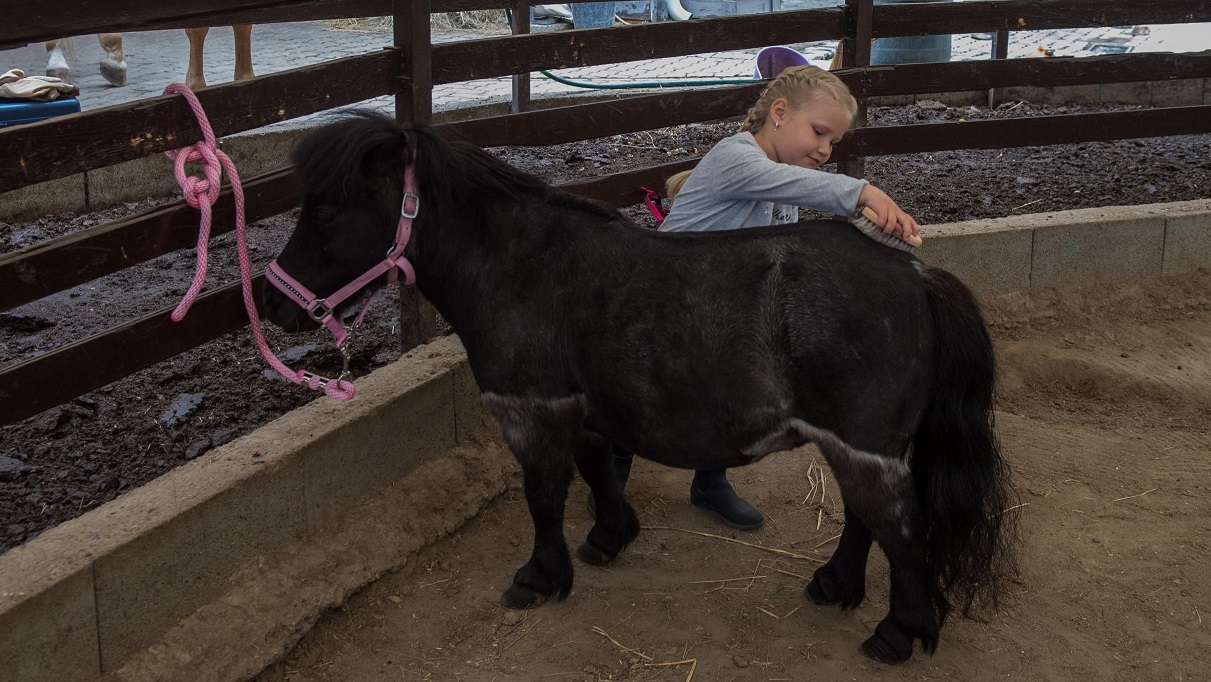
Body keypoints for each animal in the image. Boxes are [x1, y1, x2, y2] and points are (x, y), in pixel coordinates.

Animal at [261, 112, 1019, 664]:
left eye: (326, 211)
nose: (271, 302)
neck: (517, 267)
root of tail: (915, 275)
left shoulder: (531, 412)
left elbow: (544, 499)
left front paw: (540, 578)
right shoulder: (583, 409)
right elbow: (599, 469)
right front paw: (609, 536)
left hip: (865, 448)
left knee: (901, 531)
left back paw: (897, 632)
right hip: (858, 446)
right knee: (867, 521)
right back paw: (835, 585)